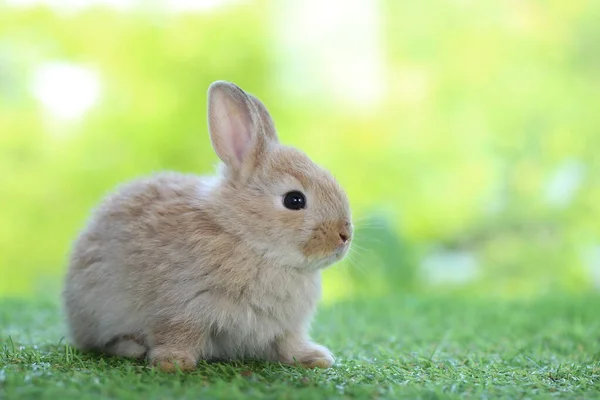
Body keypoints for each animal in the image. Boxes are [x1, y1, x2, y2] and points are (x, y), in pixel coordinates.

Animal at [62, 79, 352, 374]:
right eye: (294, 200)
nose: (345, 235)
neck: (245, 238)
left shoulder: (285, 328)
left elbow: (288, 344)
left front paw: (314, 358)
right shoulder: (181, 309)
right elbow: (179, 334)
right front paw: (173, 363)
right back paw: (132, 348)